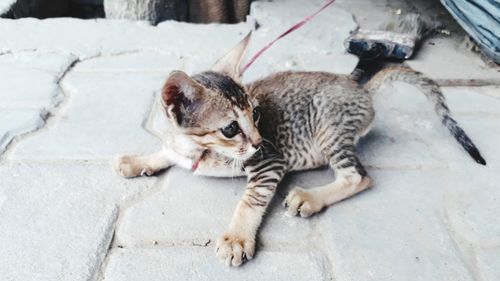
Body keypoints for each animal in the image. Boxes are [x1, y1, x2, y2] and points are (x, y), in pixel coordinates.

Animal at [114, 34, 484, 266]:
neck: (196, 151)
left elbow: (250, 201)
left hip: (327, 126)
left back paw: (310, 197)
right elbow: (166, 151)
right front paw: (138, 160)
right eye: (231, 128)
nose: (258, 141)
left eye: (256, 114)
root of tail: (360, 87)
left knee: (358, 177)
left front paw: (237, 238)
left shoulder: (269, 162)